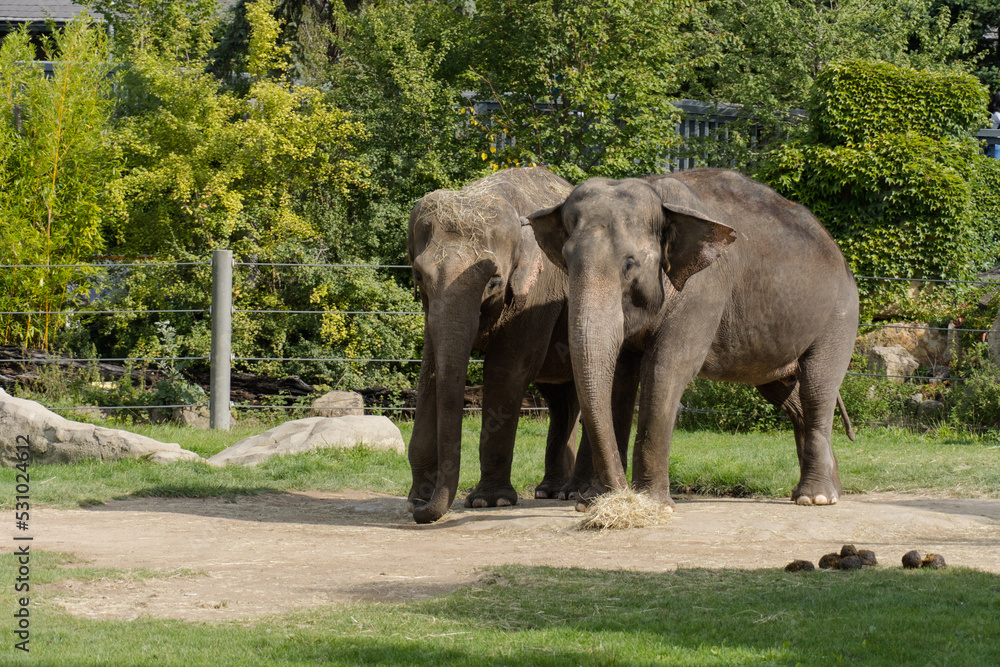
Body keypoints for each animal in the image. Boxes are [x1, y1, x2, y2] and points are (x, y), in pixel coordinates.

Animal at [407, 166, 636, 524]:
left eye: (494, 281)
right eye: (418, 276)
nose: (423, 509)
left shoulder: (539, 292)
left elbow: (506, 370)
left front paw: (489, 502)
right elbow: (430, 370)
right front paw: (415, 499)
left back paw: (576, 493)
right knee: (562, 399)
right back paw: (553, 491)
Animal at [528, 168, 858, 511]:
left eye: (630, 264)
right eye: (566, 261)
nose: (617, 491)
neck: (658, 195)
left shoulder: (703, 290)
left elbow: (666, 368)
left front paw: (652, 504)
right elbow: (619, 377)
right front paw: (599, 501)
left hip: (839, 317)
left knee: (817, 387)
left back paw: (815, 498)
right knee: (785, 394)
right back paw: (826, 491)